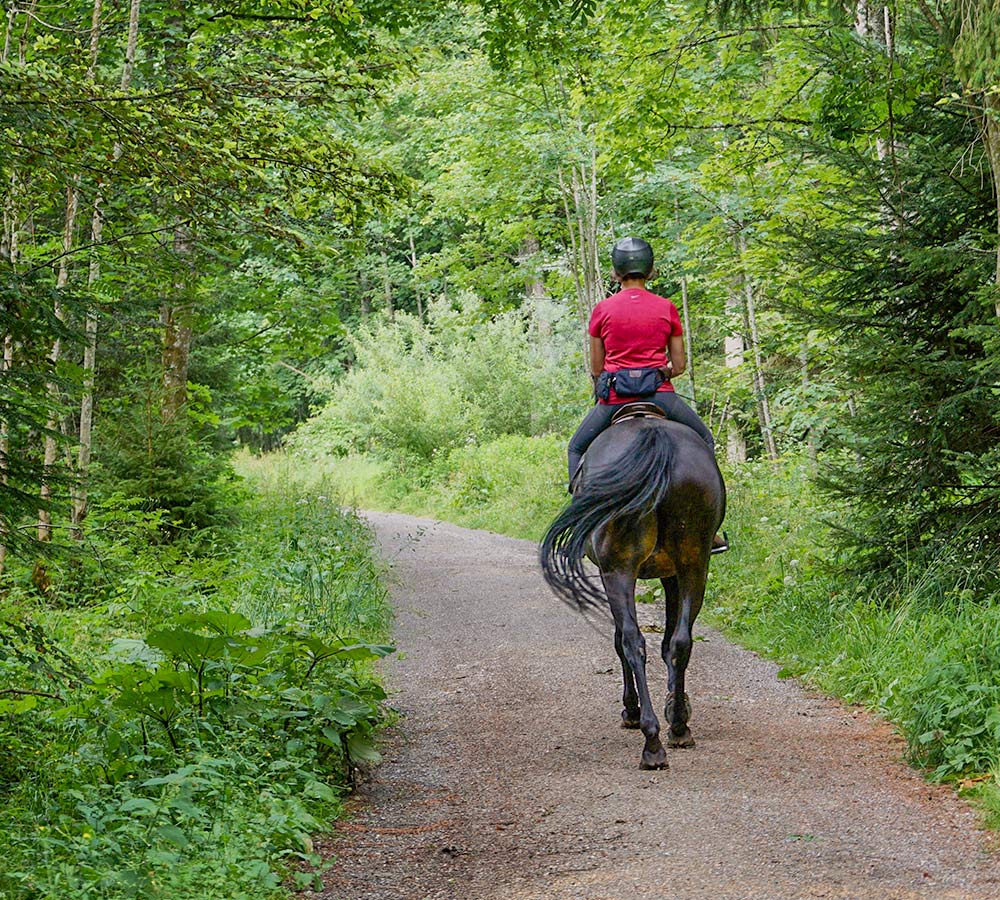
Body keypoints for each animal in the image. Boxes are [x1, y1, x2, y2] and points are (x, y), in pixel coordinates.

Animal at [540, 408, 728, 768]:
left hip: (618, 570)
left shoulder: (616, 573)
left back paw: (650, 737)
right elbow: (669, 642)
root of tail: (654, 438)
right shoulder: (672, 574)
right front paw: (675, 703)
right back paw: (677, 727)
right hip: (694, 564)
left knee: (631, 640)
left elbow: (620, 640)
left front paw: (633, 708)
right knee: (680, 641)